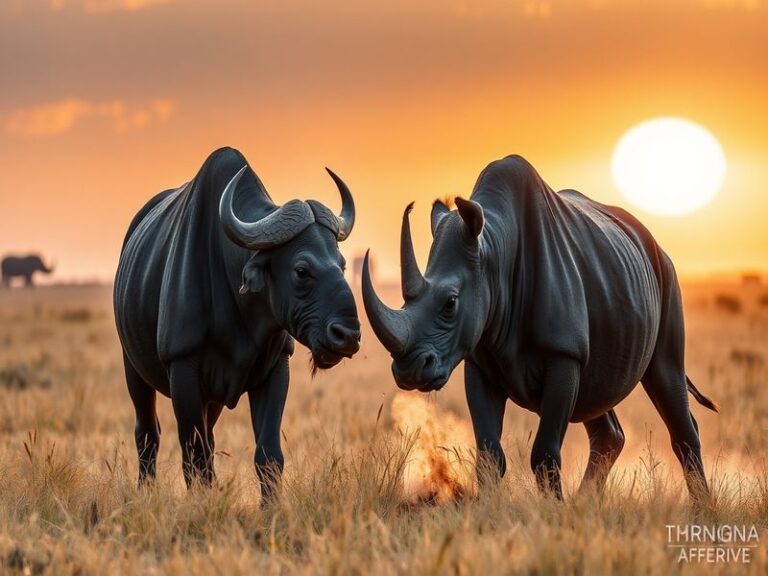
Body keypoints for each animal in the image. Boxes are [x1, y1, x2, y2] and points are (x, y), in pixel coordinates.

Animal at [114, 147, 361, 500]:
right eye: (301, 270)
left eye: (341, 264)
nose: (348, 336)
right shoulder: (183, 371)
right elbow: (193, 452)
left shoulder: (276, 369)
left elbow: (267, 453)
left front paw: (270, 505)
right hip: (133, 369)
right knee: (148, 433)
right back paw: (145, 489)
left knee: (208, 438)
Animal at [362, 154, 718, 502]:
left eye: (450, 303)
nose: (409, 370)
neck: (494, 252)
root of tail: (652, 241)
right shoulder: (477, 358)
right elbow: (489, 453)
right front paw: (488, 512)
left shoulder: (563, 353)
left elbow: (545, 453)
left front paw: (553, 512)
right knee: (596, 400)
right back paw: (585, 505)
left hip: (667, 279)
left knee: (667, 375)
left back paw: (702, 510)